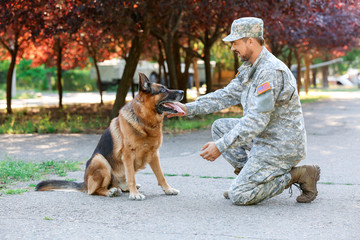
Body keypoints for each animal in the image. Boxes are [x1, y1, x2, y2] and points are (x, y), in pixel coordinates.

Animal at [36, 73, 184, 201]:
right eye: (163, 89)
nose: (182, 91)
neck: (145, 121)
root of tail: (84, 182)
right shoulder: (128, 155)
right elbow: (131, 177)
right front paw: (135, 194)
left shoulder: (154, 154)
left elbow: (161, 175)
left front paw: (168, 189)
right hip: (100, 160)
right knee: (94, 191)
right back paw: (110, 191)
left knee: (120, 185)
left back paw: (122, 188)